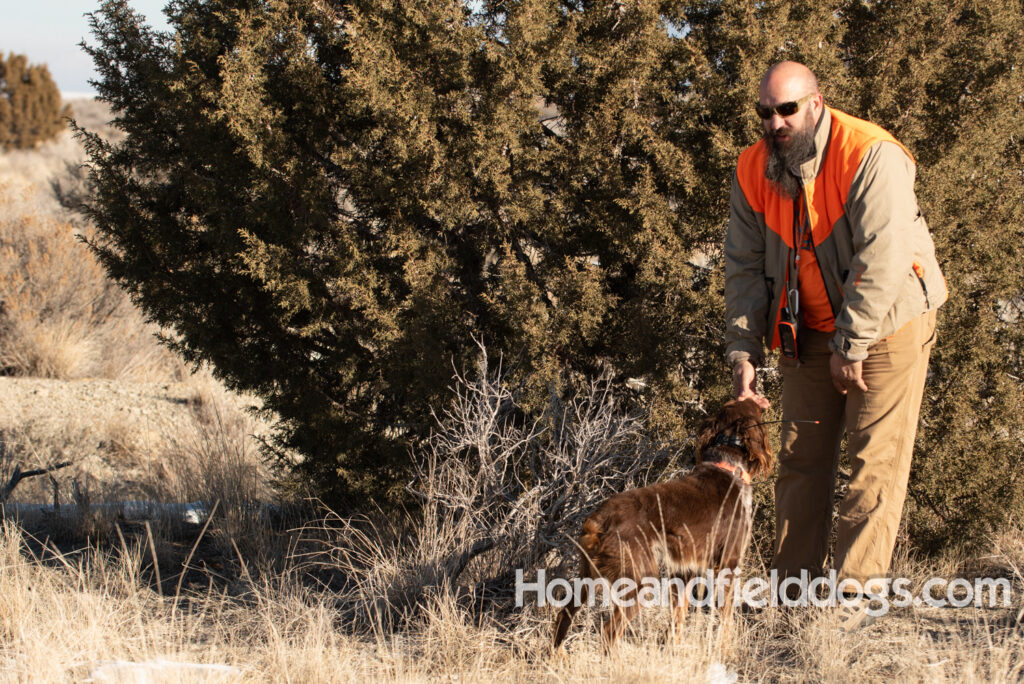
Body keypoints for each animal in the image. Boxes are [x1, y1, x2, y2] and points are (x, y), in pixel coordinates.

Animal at [552, 397, 770, 651]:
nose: (756, 396)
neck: (728, 466)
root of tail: (597, 520)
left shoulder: (684, 569)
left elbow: (679, 615)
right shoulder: (728, 561)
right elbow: (726, 617)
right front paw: (725, 649)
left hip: (588, 576)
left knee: (565, 615)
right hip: (640, 579)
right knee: (609, 632)